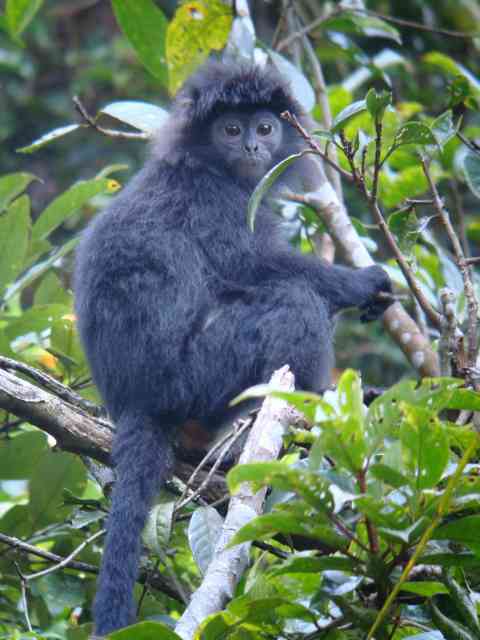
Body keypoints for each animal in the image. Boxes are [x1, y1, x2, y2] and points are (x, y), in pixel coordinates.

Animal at [73, 61, 392, 636]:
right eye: (230, 129)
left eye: (264, 127)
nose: (251, 147)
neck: (205, 166)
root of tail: (135, 401)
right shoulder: (214, 203)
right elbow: (258, 264)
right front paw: (364, 284)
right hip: (198, 374)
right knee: (293, 301)